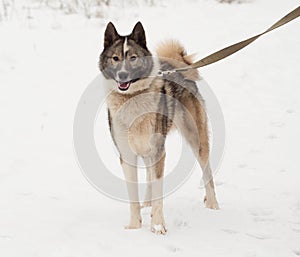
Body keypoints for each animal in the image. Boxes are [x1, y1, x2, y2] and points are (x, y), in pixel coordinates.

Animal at [99, 22, 219, 234]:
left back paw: (213, 205)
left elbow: (158, 192)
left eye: (133, 58)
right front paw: (134, 225)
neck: (132, 99)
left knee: (207, 172)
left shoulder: (158, 151)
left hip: (196, 139)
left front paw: (157, 226)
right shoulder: (127, 155)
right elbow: (133, 196)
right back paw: (146, 204)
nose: (123, 74)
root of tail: (179, 65)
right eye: (115, 58)